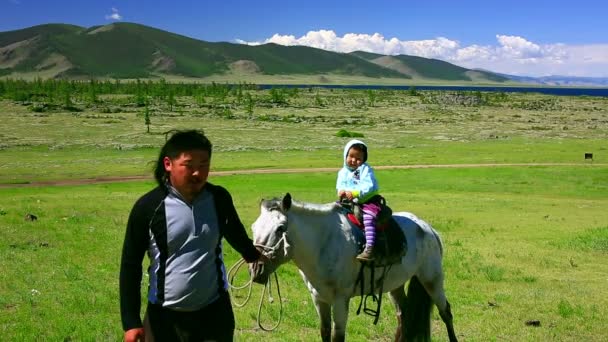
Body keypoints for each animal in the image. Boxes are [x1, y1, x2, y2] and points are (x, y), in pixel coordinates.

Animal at [248, 194, 456, 340]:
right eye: (253, 227)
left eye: (280, 228)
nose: (256, 269)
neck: (323, 243)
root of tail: (428, 229)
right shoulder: (318, 298)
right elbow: (324, 332)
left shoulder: (340, 300)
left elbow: (337, 336)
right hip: (395, 285)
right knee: (404, 314)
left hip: (432, 279)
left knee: (445, 312)